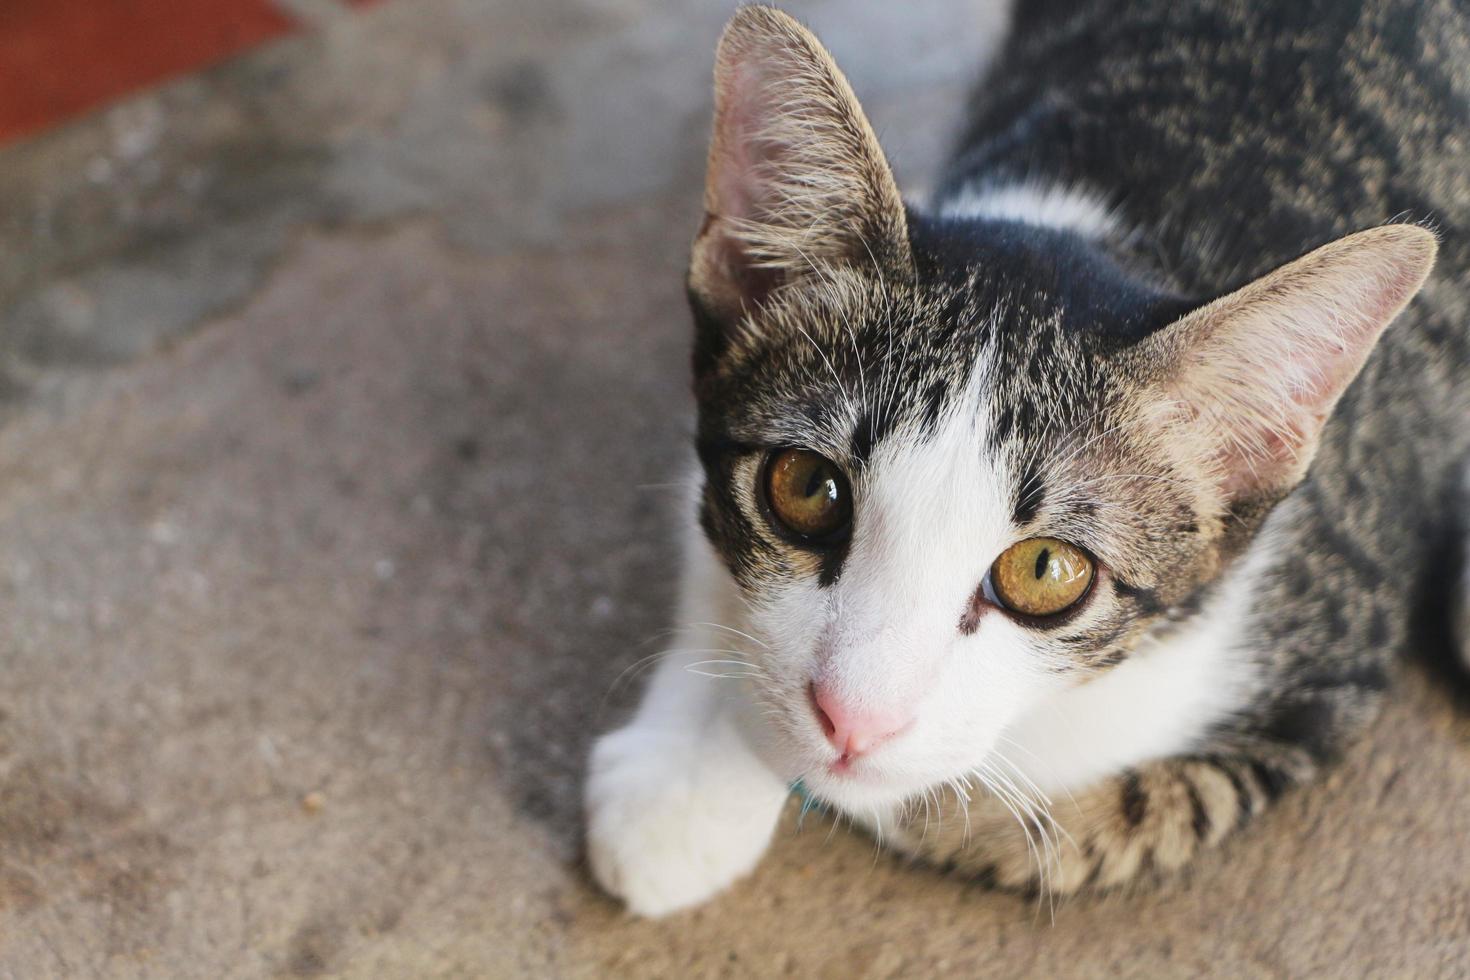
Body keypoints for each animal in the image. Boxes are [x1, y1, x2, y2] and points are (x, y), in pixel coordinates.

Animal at [585, 1, 1470, 922]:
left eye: (1045, 571)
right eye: (805, 489)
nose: (854, 721)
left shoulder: (1330, 649)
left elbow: (1107, 821)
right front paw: (692, 762)